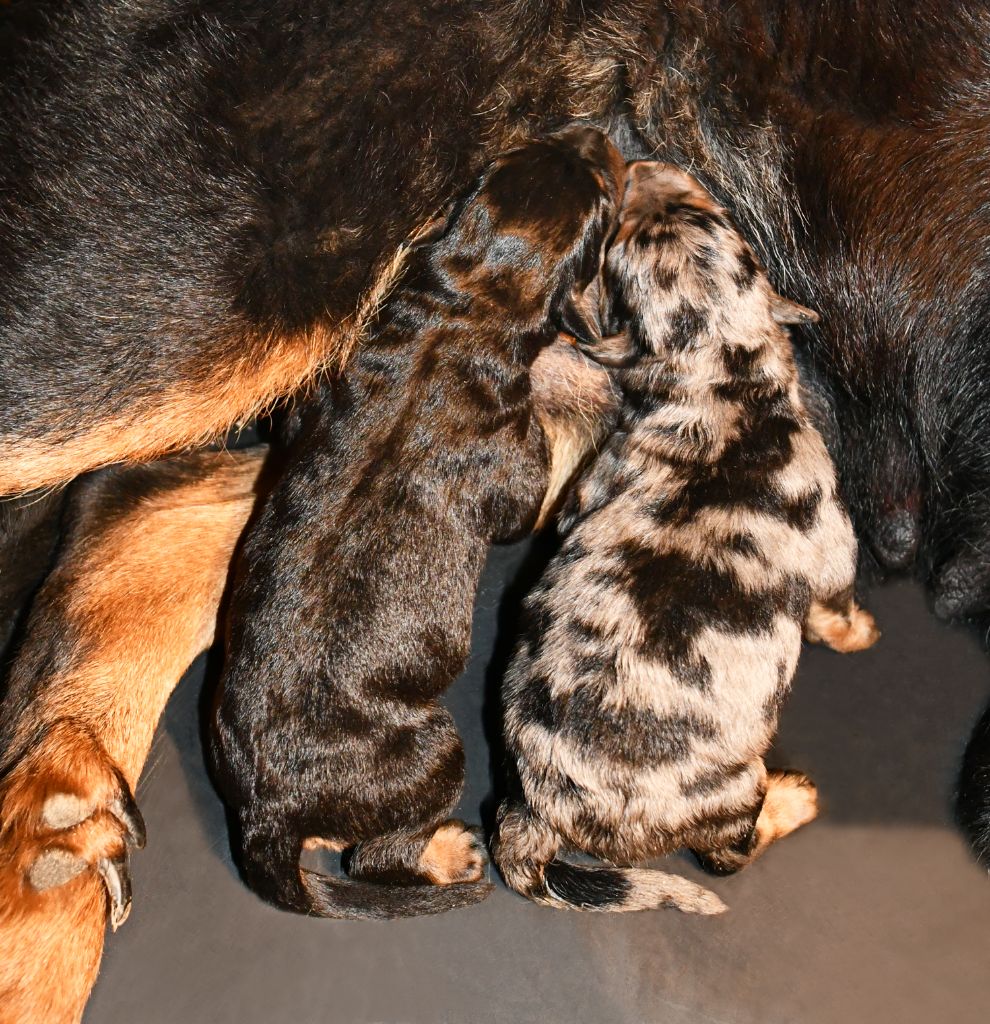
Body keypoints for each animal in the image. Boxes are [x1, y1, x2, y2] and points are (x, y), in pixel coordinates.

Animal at [211, 125, 622, 921]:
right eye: (604, 194)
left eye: (544, 145)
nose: (596, 132)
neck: (464, 303)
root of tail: (265, 816)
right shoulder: (513, 468)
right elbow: (527, 501)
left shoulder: (321, 392)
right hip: (438, 751)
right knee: (378, 856)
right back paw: (447, 854)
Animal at [495, 163, 884, 917]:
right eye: (720, 214)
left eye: (699, 211)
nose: (640, 166)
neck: (717, 377)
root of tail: (542, 816)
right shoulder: (834, 556)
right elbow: (838, 614)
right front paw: (862, 635)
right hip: (732, 792)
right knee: (729, 854)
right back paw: (791, 802)